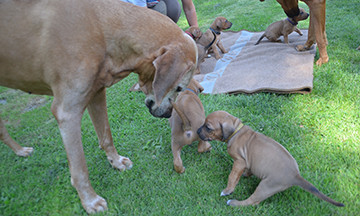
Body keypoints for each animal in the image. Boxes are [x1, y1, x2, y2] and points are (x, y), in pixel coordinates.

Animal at [0, 0, 197, 213]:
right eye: (179, 87)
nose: (168, 114)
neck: (102, 28)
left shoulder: (96, 94)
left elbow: (106, 136)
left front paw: (116, 161)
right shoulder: (67, 113)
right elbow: (79, 169)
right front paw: (90, 201)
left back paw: (20, 151)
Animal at [198, 111, 344, 208]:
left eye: (208, 127)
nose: (198, 131)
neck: (236, 131)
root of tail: (296, 175)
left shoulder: (239, 161)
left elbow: (232, 177)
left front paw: (227, 190)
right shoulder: (246, 162)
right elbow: (246, 171)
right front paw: (246, 174)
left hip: (266, 186)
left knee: (252, 201)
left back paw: (234, 203)